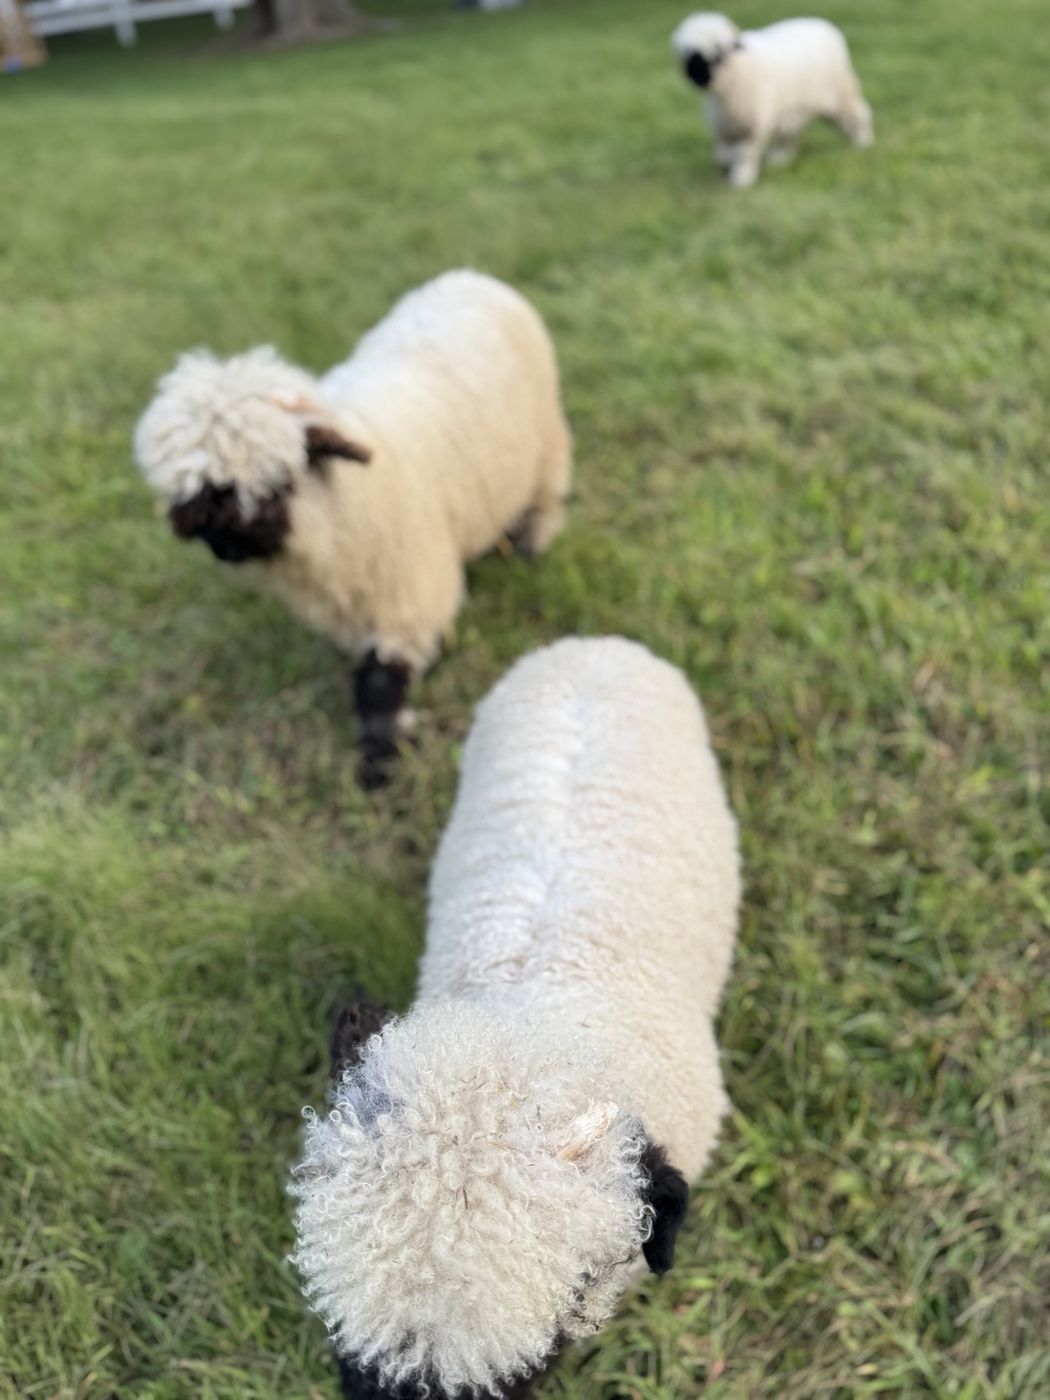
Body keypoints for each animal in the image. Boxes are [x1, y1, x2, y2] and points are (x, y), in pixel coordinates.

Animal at [133, 270, 572, 787]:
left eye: (277, 483)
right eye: (191, 497)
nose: (225, 546)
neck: (341, 507)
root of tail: (469, 276)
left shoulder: (409, 592)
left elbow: (380, 681)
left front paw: (380, 763)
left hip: (546, 445)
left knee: (546, 498)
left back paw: (531, 545)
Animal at [671, 12, 874, 189]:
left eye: (717, 53)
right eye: (686, 53)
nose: (693, 76)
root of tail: (822, 24)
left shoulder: (752, 127)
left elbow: (745, 155)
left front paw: (741, 181)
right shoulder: (724, 127)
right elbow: (724, 153)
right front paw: (727, 165)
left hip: (840, 95)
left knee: (858, 114)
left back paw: (863, 142)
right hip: (794, 109)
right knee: (790, 134)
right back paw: (780, 159)